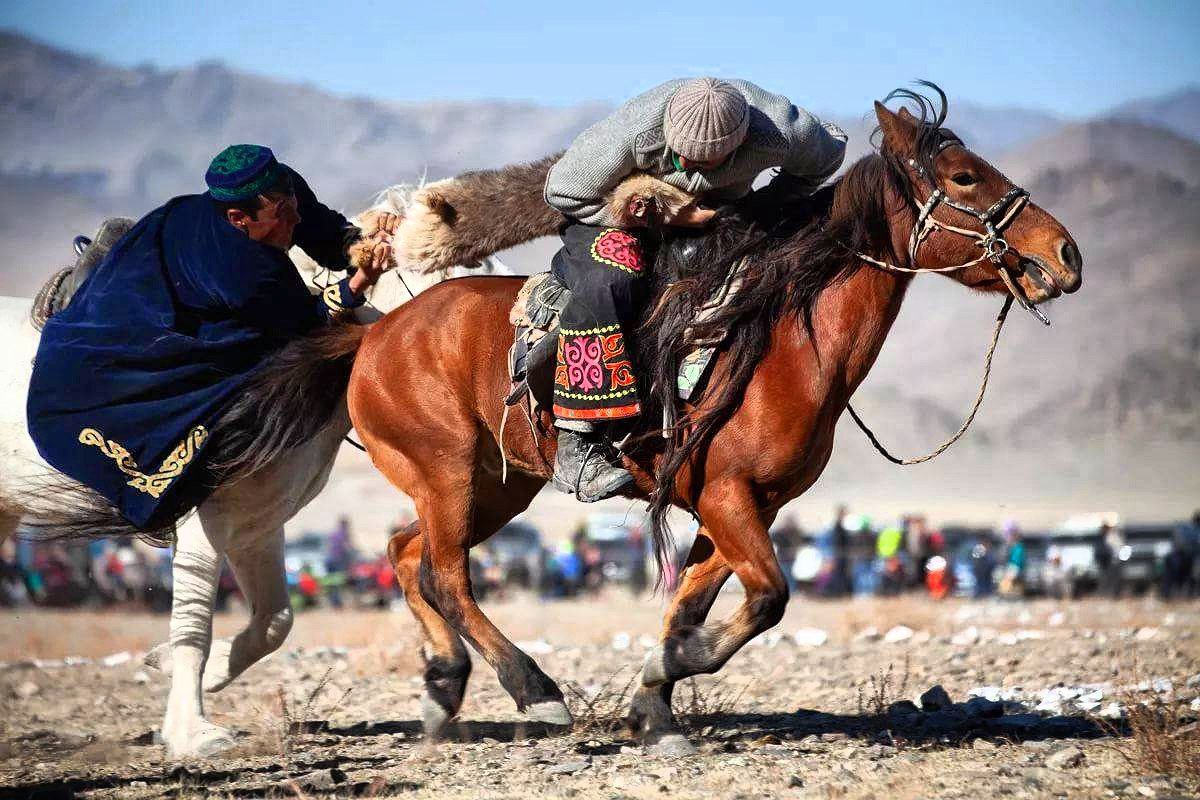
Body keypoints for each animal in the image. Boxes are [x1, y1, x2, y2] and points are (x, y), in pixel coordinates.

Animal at [0, 185, 506, 758]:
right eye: (464, 266)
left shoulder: (256, 528)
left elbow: (273, 623)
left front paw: (186, 668)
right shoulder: (202, 525)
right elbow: (193, 629)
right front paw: (191, 732)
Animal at [331, 90, 1089, 753]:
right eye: (964, 176)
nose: (1066, 255)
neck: (784, 340)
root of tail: (376, 333)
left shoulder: (749, 506)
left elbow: (692, 605)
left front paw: (656, 706)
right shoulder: (728, 498)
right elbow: (770, 598)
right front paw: (668, 670)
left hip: (496, 484)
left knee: (406, 553)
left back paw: (443, 687)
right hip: (449, 472)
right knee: (446, 575)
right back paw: (534, 689)